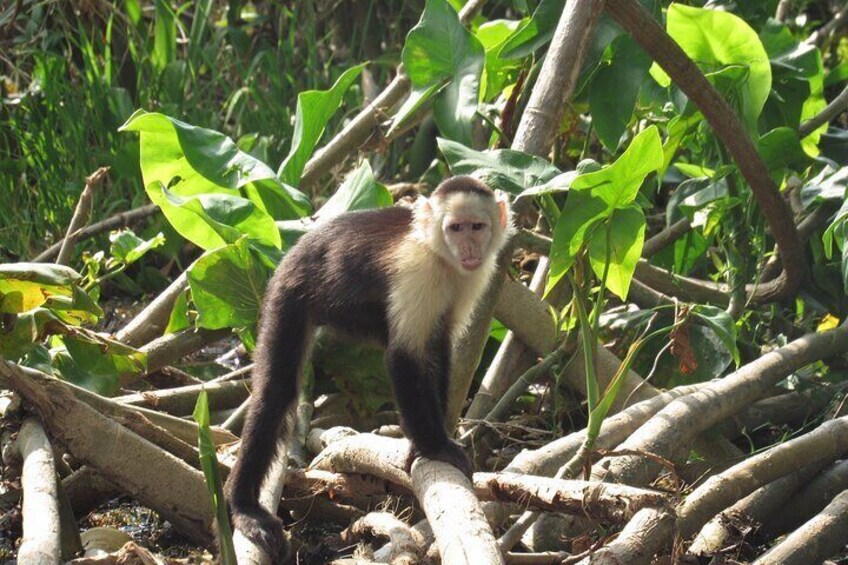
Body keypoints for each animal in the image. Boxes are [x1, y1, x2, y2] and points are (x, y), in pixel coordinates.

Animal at [225, 175, 512, 556]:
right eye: (456, 228)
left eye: (477, 227)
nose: (468, 247)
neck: (442, 257)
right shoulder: (418, 271)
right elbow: (404, 356)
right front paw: (434, 446)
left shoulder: (473, 278)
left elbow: (438, 349)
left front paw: (425, 442)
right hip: (288, 292)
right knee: (276, 392)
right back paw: (244, 507)